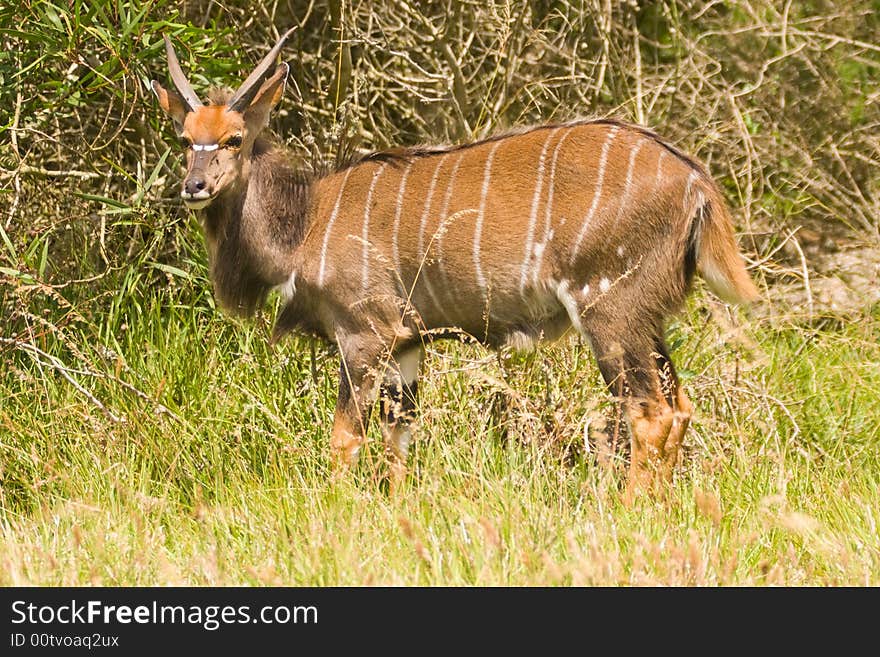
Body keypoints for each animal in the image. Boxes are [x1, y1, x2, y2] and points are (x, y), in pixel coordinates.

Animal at [150, 28, 756, 494]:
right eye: (184, 138)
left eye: (233, 138)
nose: (194, 186)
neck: (305, 221)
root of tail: (696, 183)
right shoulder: (406, 342)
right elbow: (399, 434)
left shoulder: (364, 333)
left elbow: (346, 438)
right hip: (646, 318)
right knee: (679, 406)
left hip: (609, 311)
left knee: (649, 414)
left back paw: (629, 510)